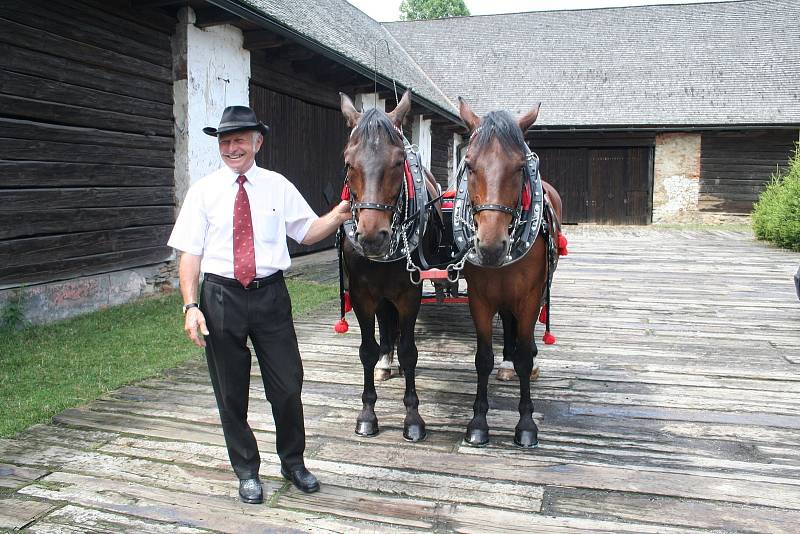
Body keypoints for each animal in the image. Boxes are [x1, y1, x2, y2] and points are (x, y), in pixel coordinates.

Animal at [334, 90, 440, 444]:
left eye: (397, 162)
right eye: (348, 162)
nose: (371, 237)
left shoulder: (409, 294)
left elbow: (409, 351)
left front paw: (413, 418)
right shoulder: (363, 295)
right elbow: (367, 349)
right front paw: (367, 413)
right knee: (384, 324)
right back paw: (384, 361)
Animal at [456, 98, 564, 450]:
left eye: (519, 167)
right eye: (469, 165)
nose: (491, 247)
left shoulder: (529, 297)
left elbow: (525, 357)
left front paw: (526, 425)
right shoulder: (480, 298)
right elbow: (482, 359)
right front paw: (478, 423)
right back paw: (506, 364)